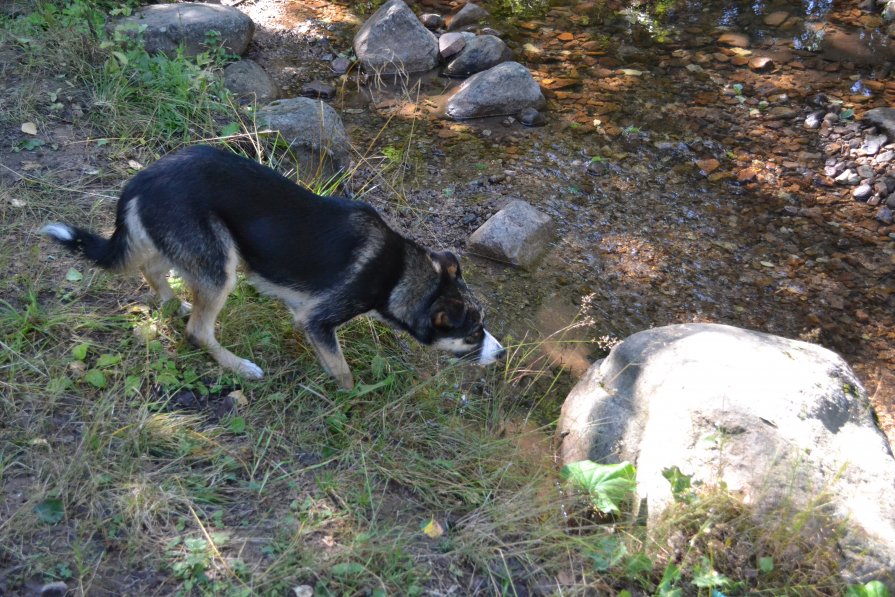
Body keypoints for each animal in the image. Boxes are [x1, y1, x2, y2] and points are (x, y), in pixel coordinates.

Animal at [43, 143, 504, 386]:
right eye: (472, 334)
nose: (501, 353)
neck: (399, 273)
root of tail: (140, 180)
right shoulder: (318, 320)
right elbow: (342, 370)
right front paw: (356, 397)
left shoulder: (303, 308)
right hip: (221, 263)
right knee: (197, 332)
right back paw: (239, 365)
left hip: (180, 247)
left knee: (153, 273)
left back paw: (176, 304)